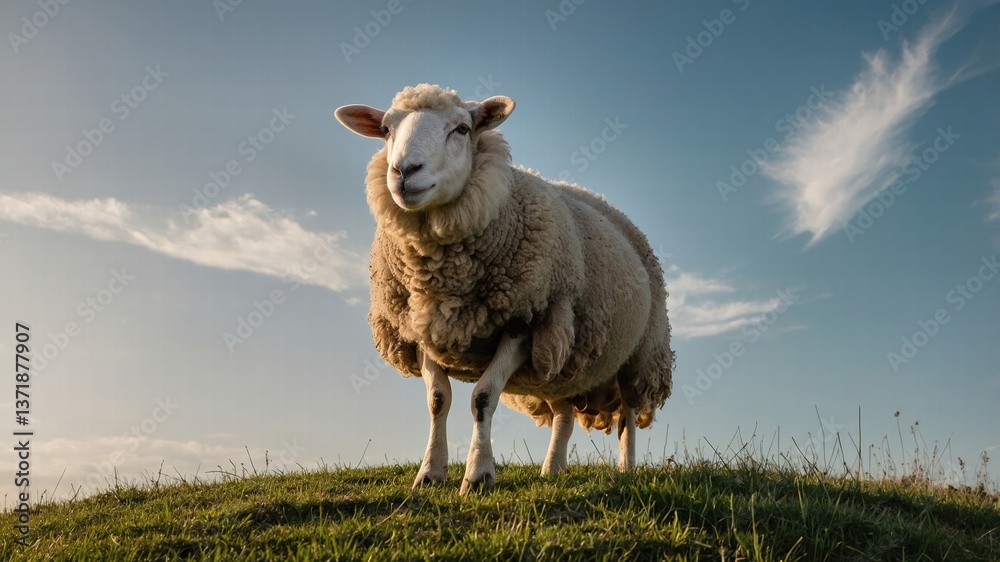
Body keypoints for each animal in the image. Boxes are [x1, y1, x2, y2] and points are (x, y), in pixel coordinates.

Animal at [335, 84, 673, 495]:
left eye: (462, 129)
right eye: (385, 130)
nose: (403, 172)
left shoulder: (522, 321)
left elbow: (482, 398)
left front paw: (478, 475)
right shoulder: (421, 331)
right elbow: (437, 401)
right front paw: (429, 473)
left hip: (640, 354)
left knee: (627, 414)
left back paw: (625, 468)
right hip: (562, 352)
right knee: (564, 412)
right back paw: (553, 468)